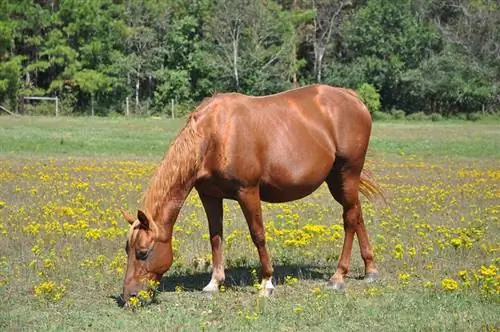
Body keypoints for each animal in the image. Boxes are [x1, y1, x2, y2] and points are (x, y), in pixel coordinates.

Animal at [120, 83, 382, 300]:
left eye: (143, 252)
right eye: (127, 250)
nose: (128, 296)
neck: (215, 135)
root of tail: (353, 98)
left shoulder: (248, 192)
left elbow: (258, 235)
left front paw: (267, 282)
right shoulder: (210, 195)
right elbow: (215, 236)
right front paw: (214, 283)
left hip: (347, 173)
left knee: (349, 220)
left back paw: (338, 276)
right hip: (337, 180)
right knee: (356, 214)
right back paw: (370, 269)